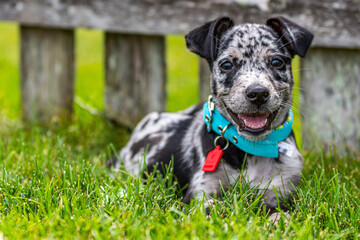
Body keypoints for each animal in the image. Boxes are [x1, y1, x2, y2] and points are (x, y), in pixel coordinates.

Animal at [115, 15, 312, 212]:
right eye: (227, 65)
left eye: (277, 62)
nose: (258, 93)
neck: (251, 151)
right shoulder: (200, 192)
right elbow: (213, 207)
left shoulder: (281, 189)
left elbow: (278, 211)